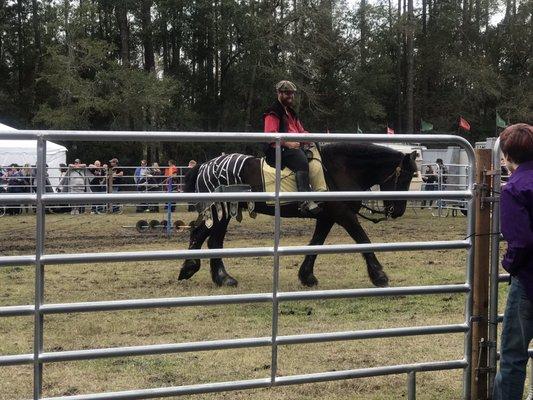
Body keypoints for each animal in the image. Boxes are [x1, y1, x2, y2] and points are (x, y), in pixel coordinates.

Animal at [180, 144, 420, 288]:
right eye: (405, 177)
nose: (399, 210)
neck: (340, 169)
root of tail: (205, 165)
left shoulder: (327, 218)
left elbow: (315, 244)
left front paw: (307, 276)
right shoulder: (344, 216)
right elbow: (363, 240)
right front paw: (379, 276)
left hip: (220, 213)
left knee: (202, 236)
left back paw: (194, 269)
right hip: (220, 212)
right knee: (211, 240)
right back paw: (219, 276)